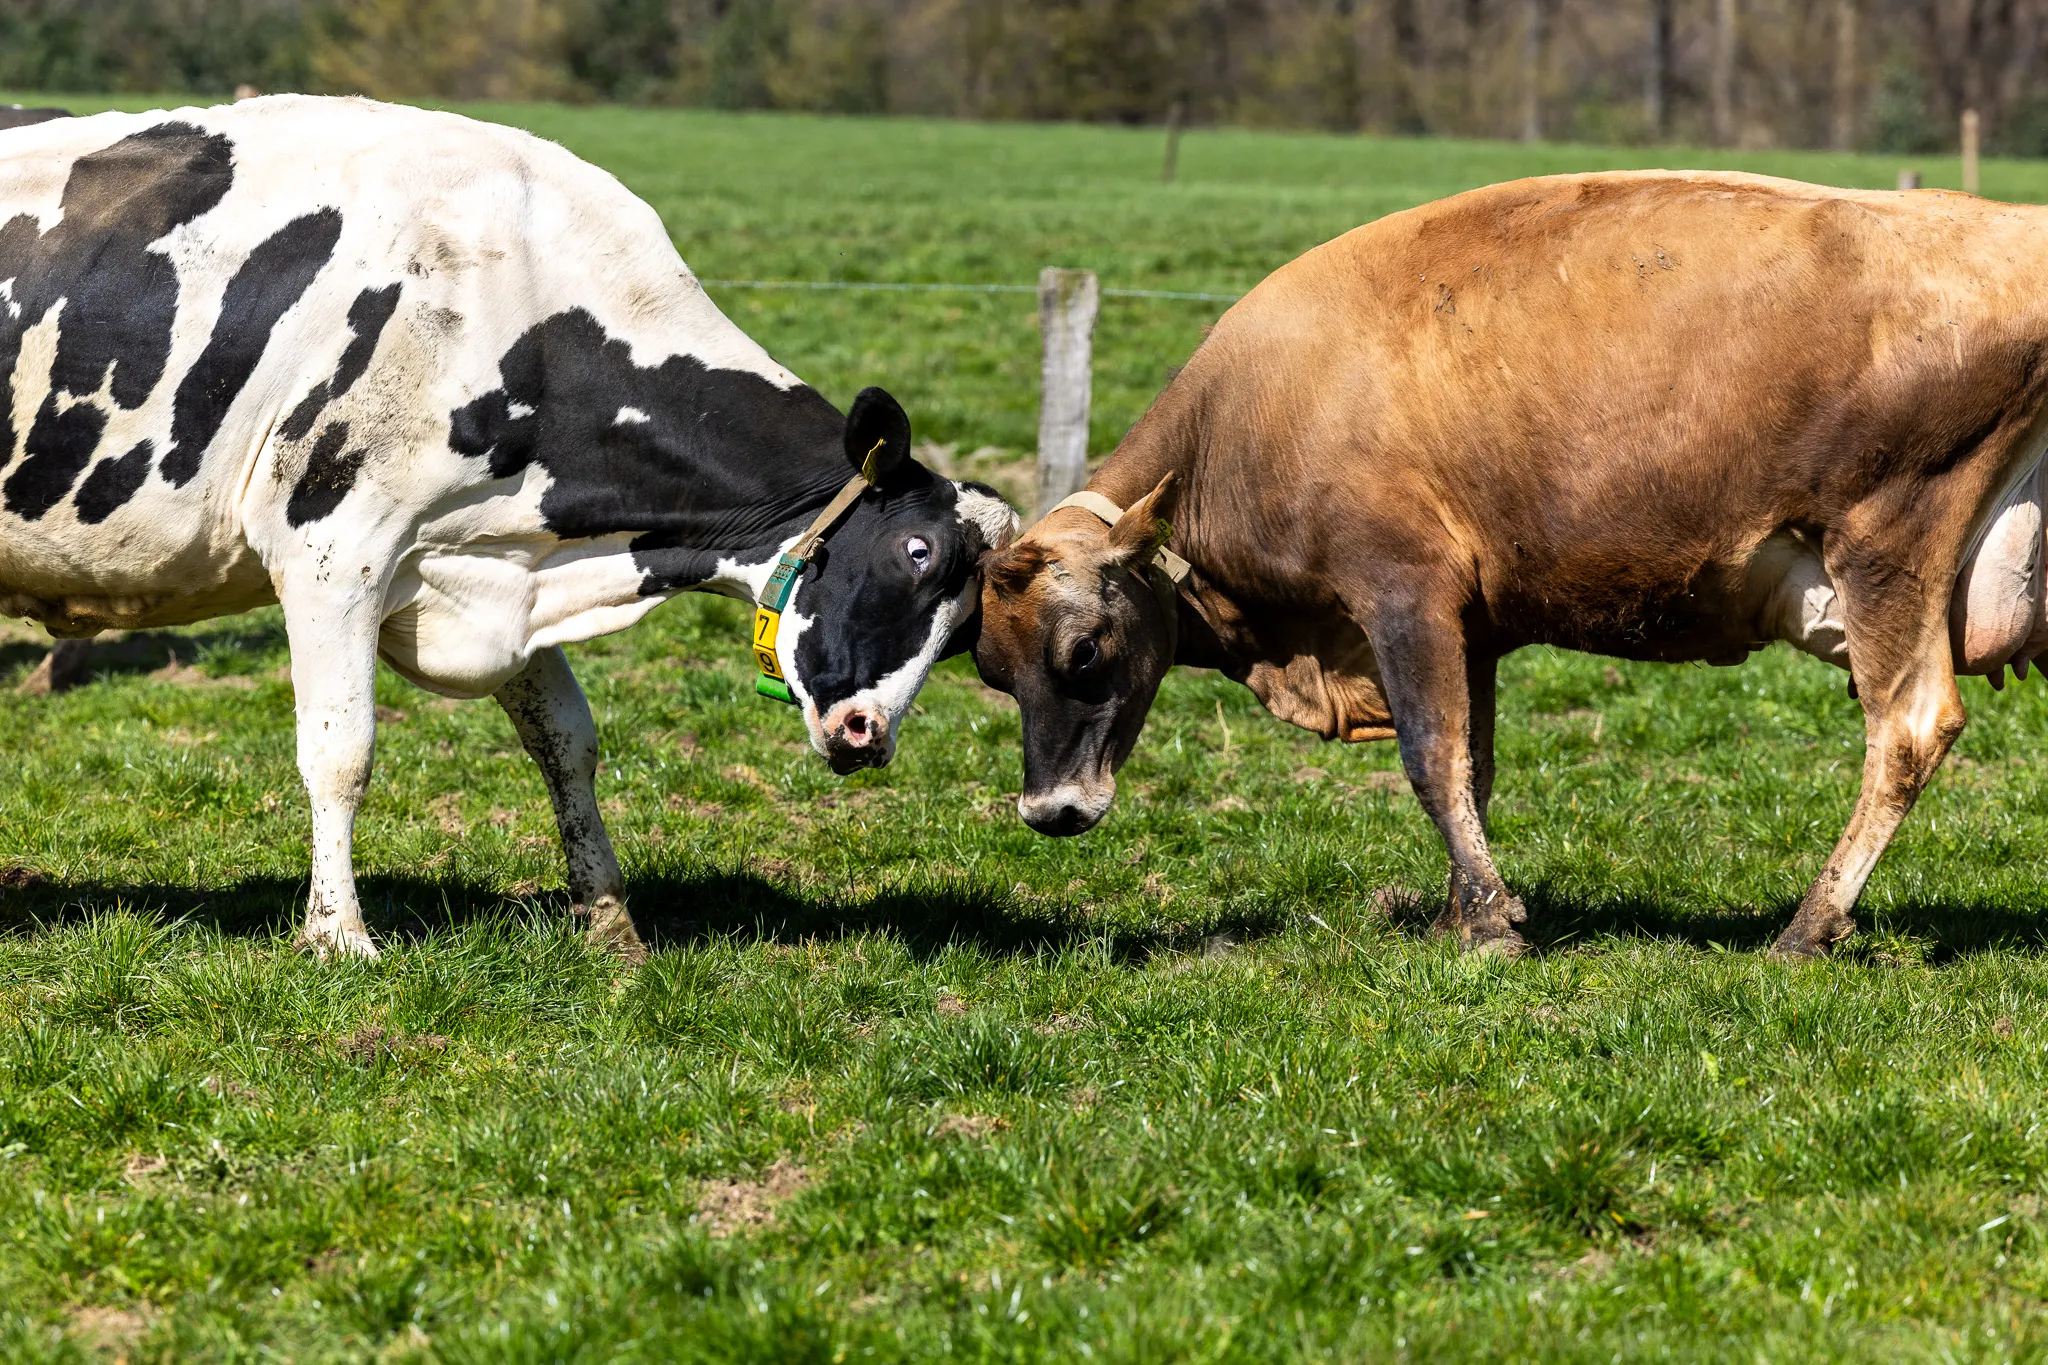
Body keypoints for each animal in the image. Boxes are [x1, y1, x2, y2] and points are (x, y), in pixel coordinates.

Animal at [0, 96, 1015, 960]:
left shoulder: (506, 565)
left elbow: (570, 742)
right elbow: (340, 752)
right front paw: (339, 936)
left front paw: (608, 921)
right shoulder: (332, 550)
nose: (866, 734)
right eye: (914, 551)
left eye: (967, 627)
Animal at [973, 170, 2048, 959]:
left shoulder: (1401, 587)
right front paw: (1464, 908)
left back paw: (1807, 927)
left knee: (1910, 726)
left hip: (1885, 544)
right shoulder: (1471, 626)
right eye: (988, 668)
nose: (1049, 811)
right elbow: (1476, 764)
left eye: (1083, 651)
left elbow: (1431, 756)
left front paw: (1488, 926)